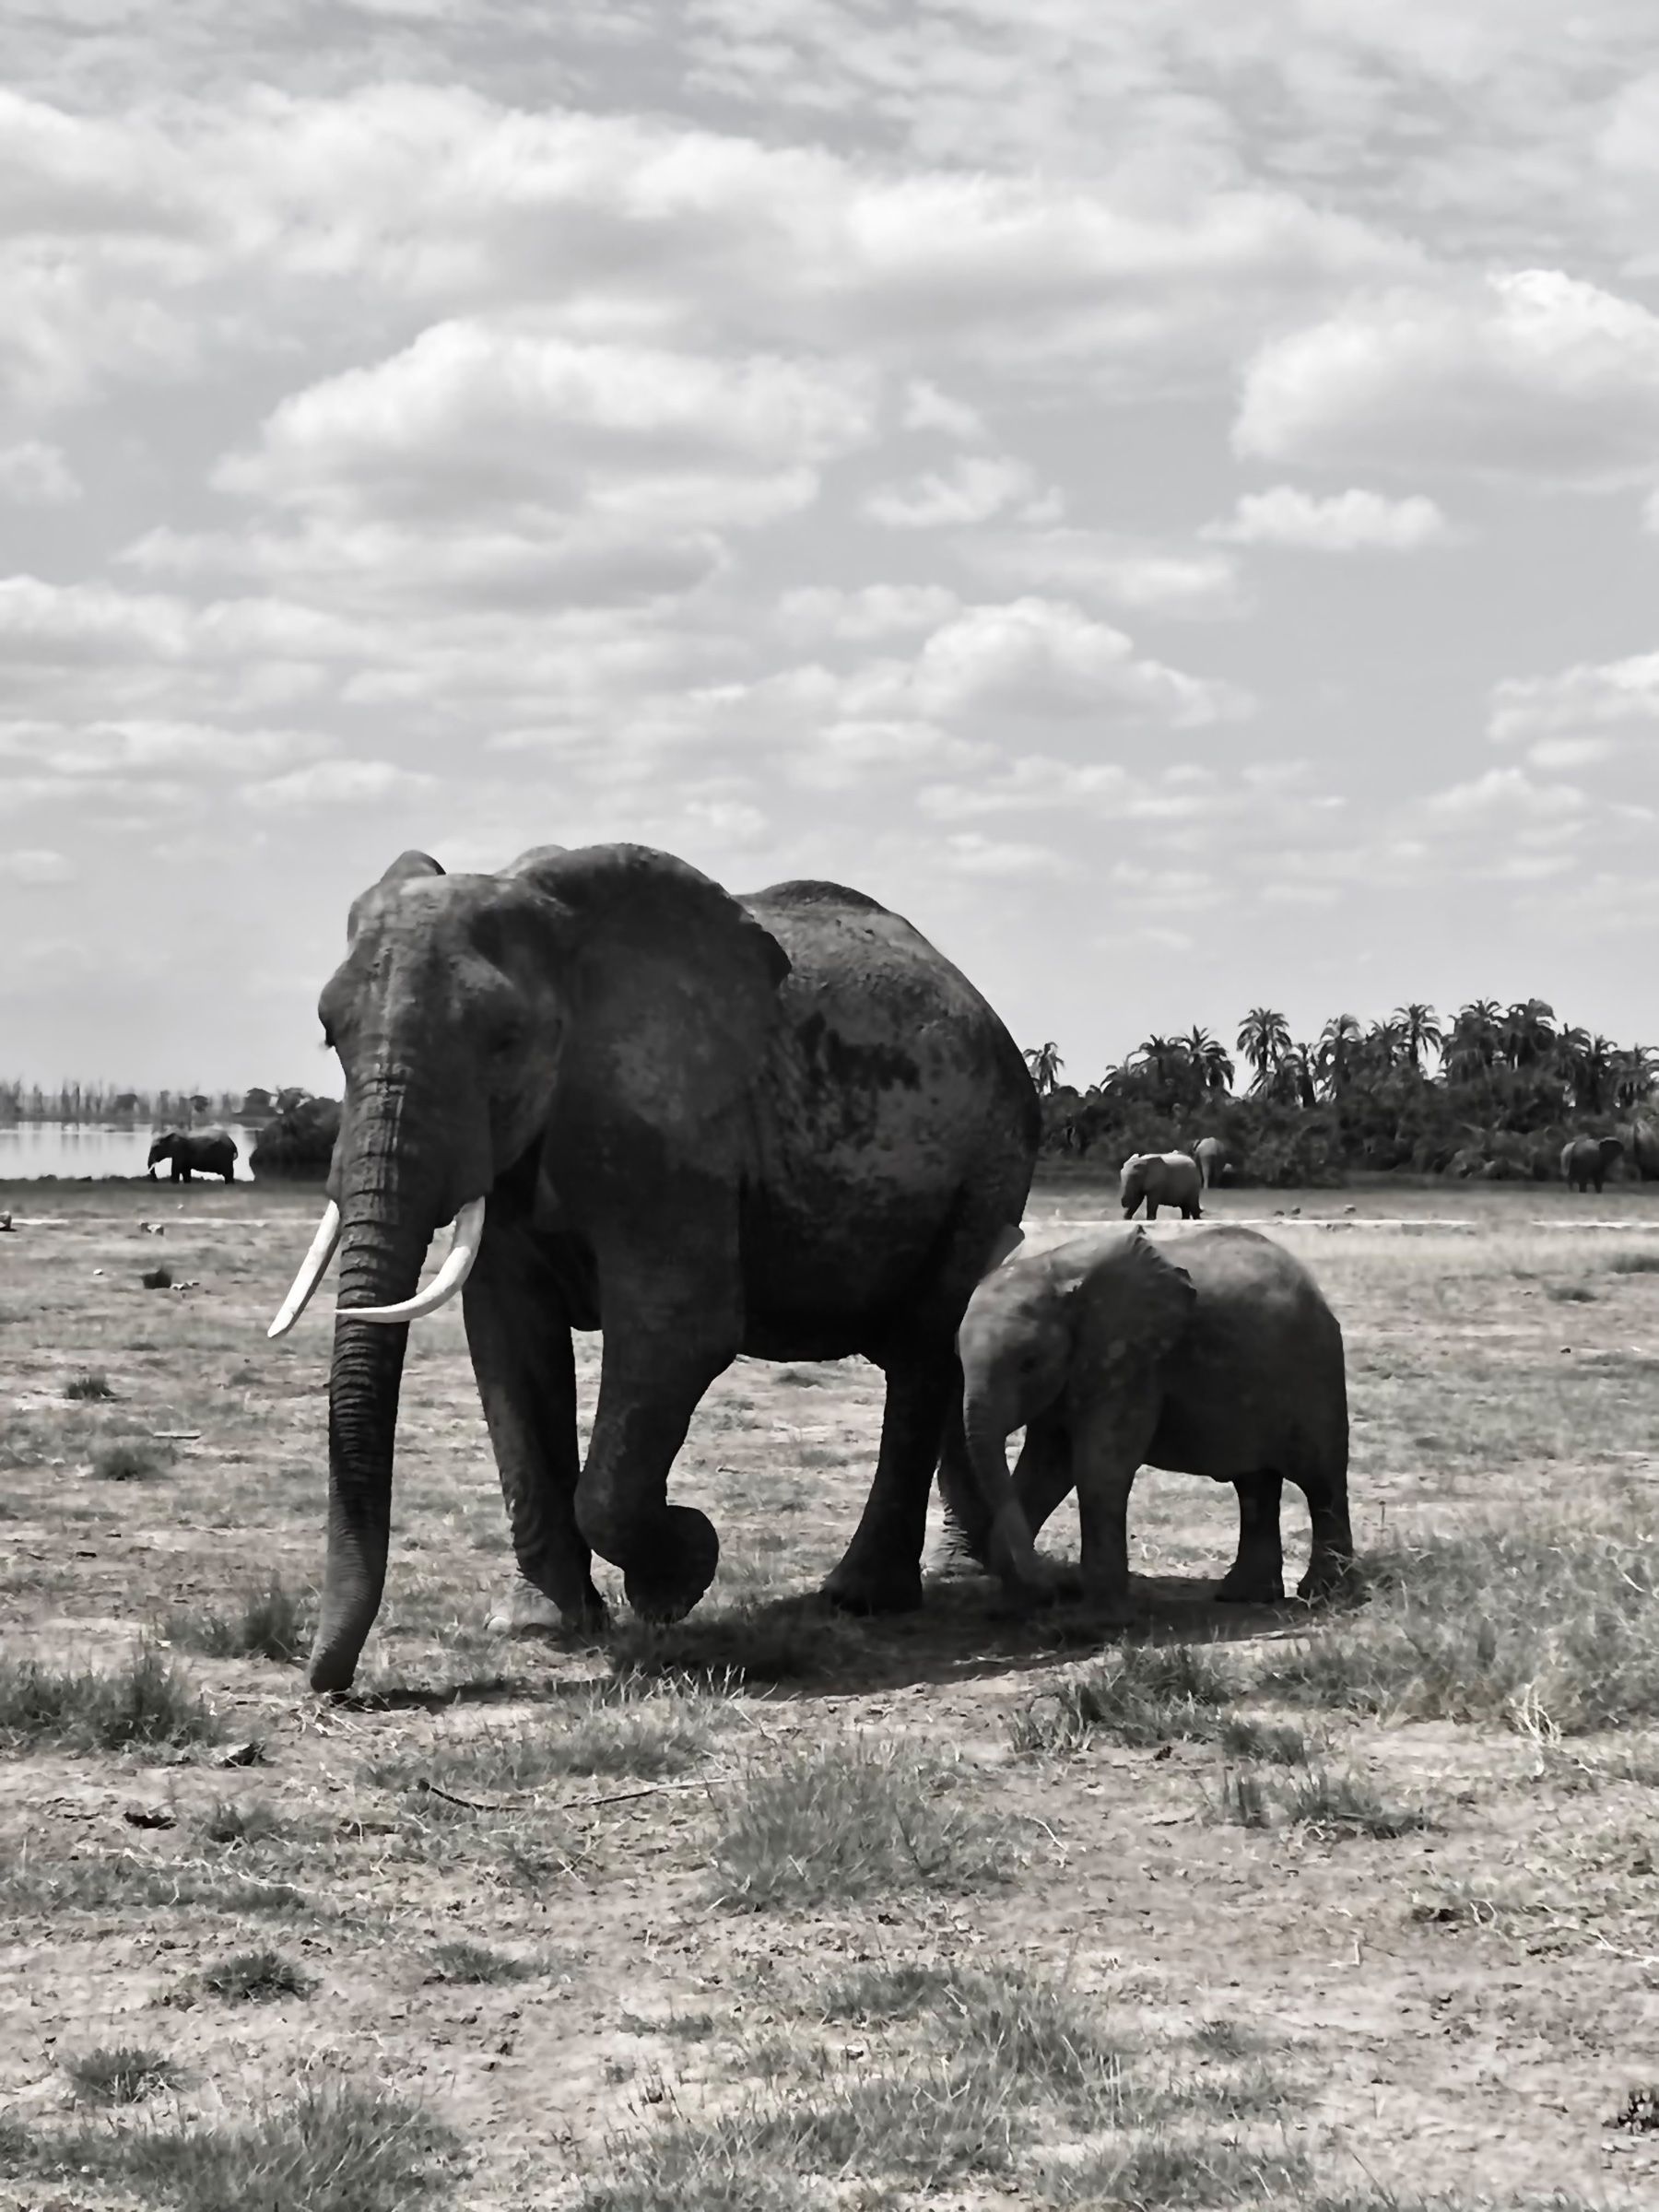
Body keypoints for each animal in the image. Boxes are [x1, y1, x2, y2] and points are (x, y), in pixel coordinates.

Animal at [266, 842, 1039, 1692]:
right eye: (329, 1034)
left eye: (505, 1038)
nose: (331, 1683)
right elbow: (508, 1342)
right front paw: (542, 1627)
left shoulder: (676, 1130)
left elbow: (679, 1332)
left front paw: (681, 1575)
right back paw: (963, 1573)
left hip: (989, 1163)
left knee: (927, 1350)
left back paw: (861, 1598)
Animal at [942, 1223, 1354, 1621]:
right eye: (957, 1356)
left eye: (1029, 1363)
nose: (1051, 1591)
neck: (1051, 1270)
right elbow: (1042, 1472)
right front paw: (1010, 1610)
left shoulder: (1132, 1361)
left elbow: (1098, 1468)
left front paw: (1094, 1626)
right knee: (1255, 1484)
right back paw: (1245, 1596)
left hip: (1315, 1368)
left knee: (1321, 1483)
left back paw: (1324, 1594)